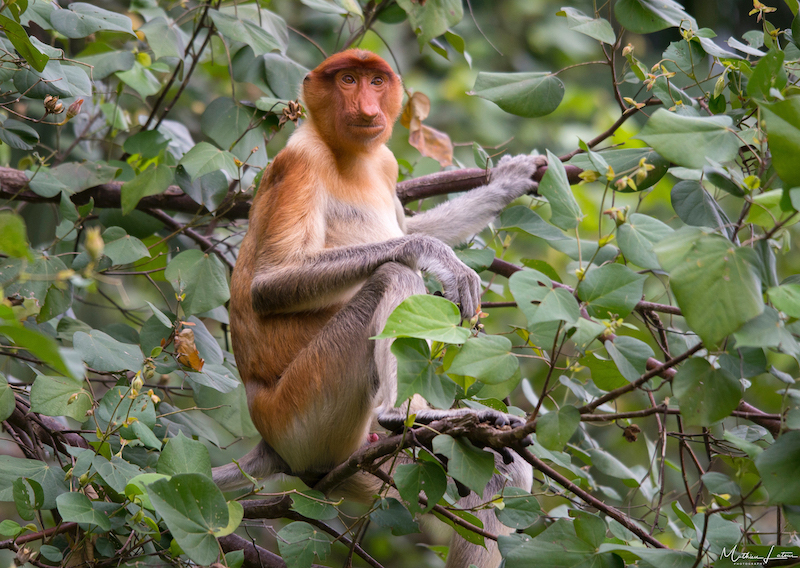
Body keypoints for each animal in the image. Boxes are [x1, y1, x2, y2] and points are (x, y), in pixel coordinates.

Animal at [212, 50, 536, 568]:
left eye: (376, 82)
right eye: (347, 79)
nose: (366, 107)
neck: (352, 157)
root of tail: (271, 441)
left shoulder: (384, 161)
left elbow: (409, 223)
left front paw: (508, 182)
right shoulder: (300, 161)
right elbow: (268, 285)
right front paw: (436, 257)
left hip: (380, 464)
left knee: (499, 474)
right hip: (307, 414)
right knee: (392, 276)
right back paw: (402, 414)